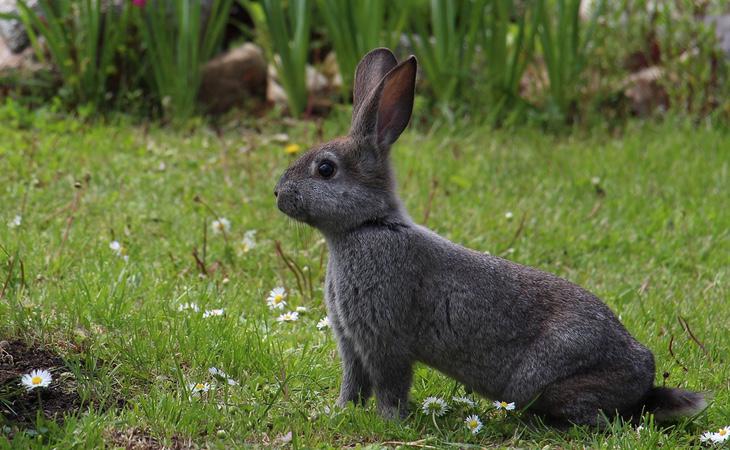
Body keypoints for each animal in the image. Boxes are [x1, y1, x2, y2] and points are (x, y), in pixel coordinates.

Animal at [272, 48, 704, 426]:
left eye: (326, 169)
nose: (277, 193)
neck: (367, 225)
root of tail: (643, 376)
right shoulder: (351, 342)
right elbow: (353, 382)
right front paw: (339, 412)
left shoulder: (384, 338)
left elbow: (390, 384)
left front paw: (389, 422)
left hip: (545, 380)